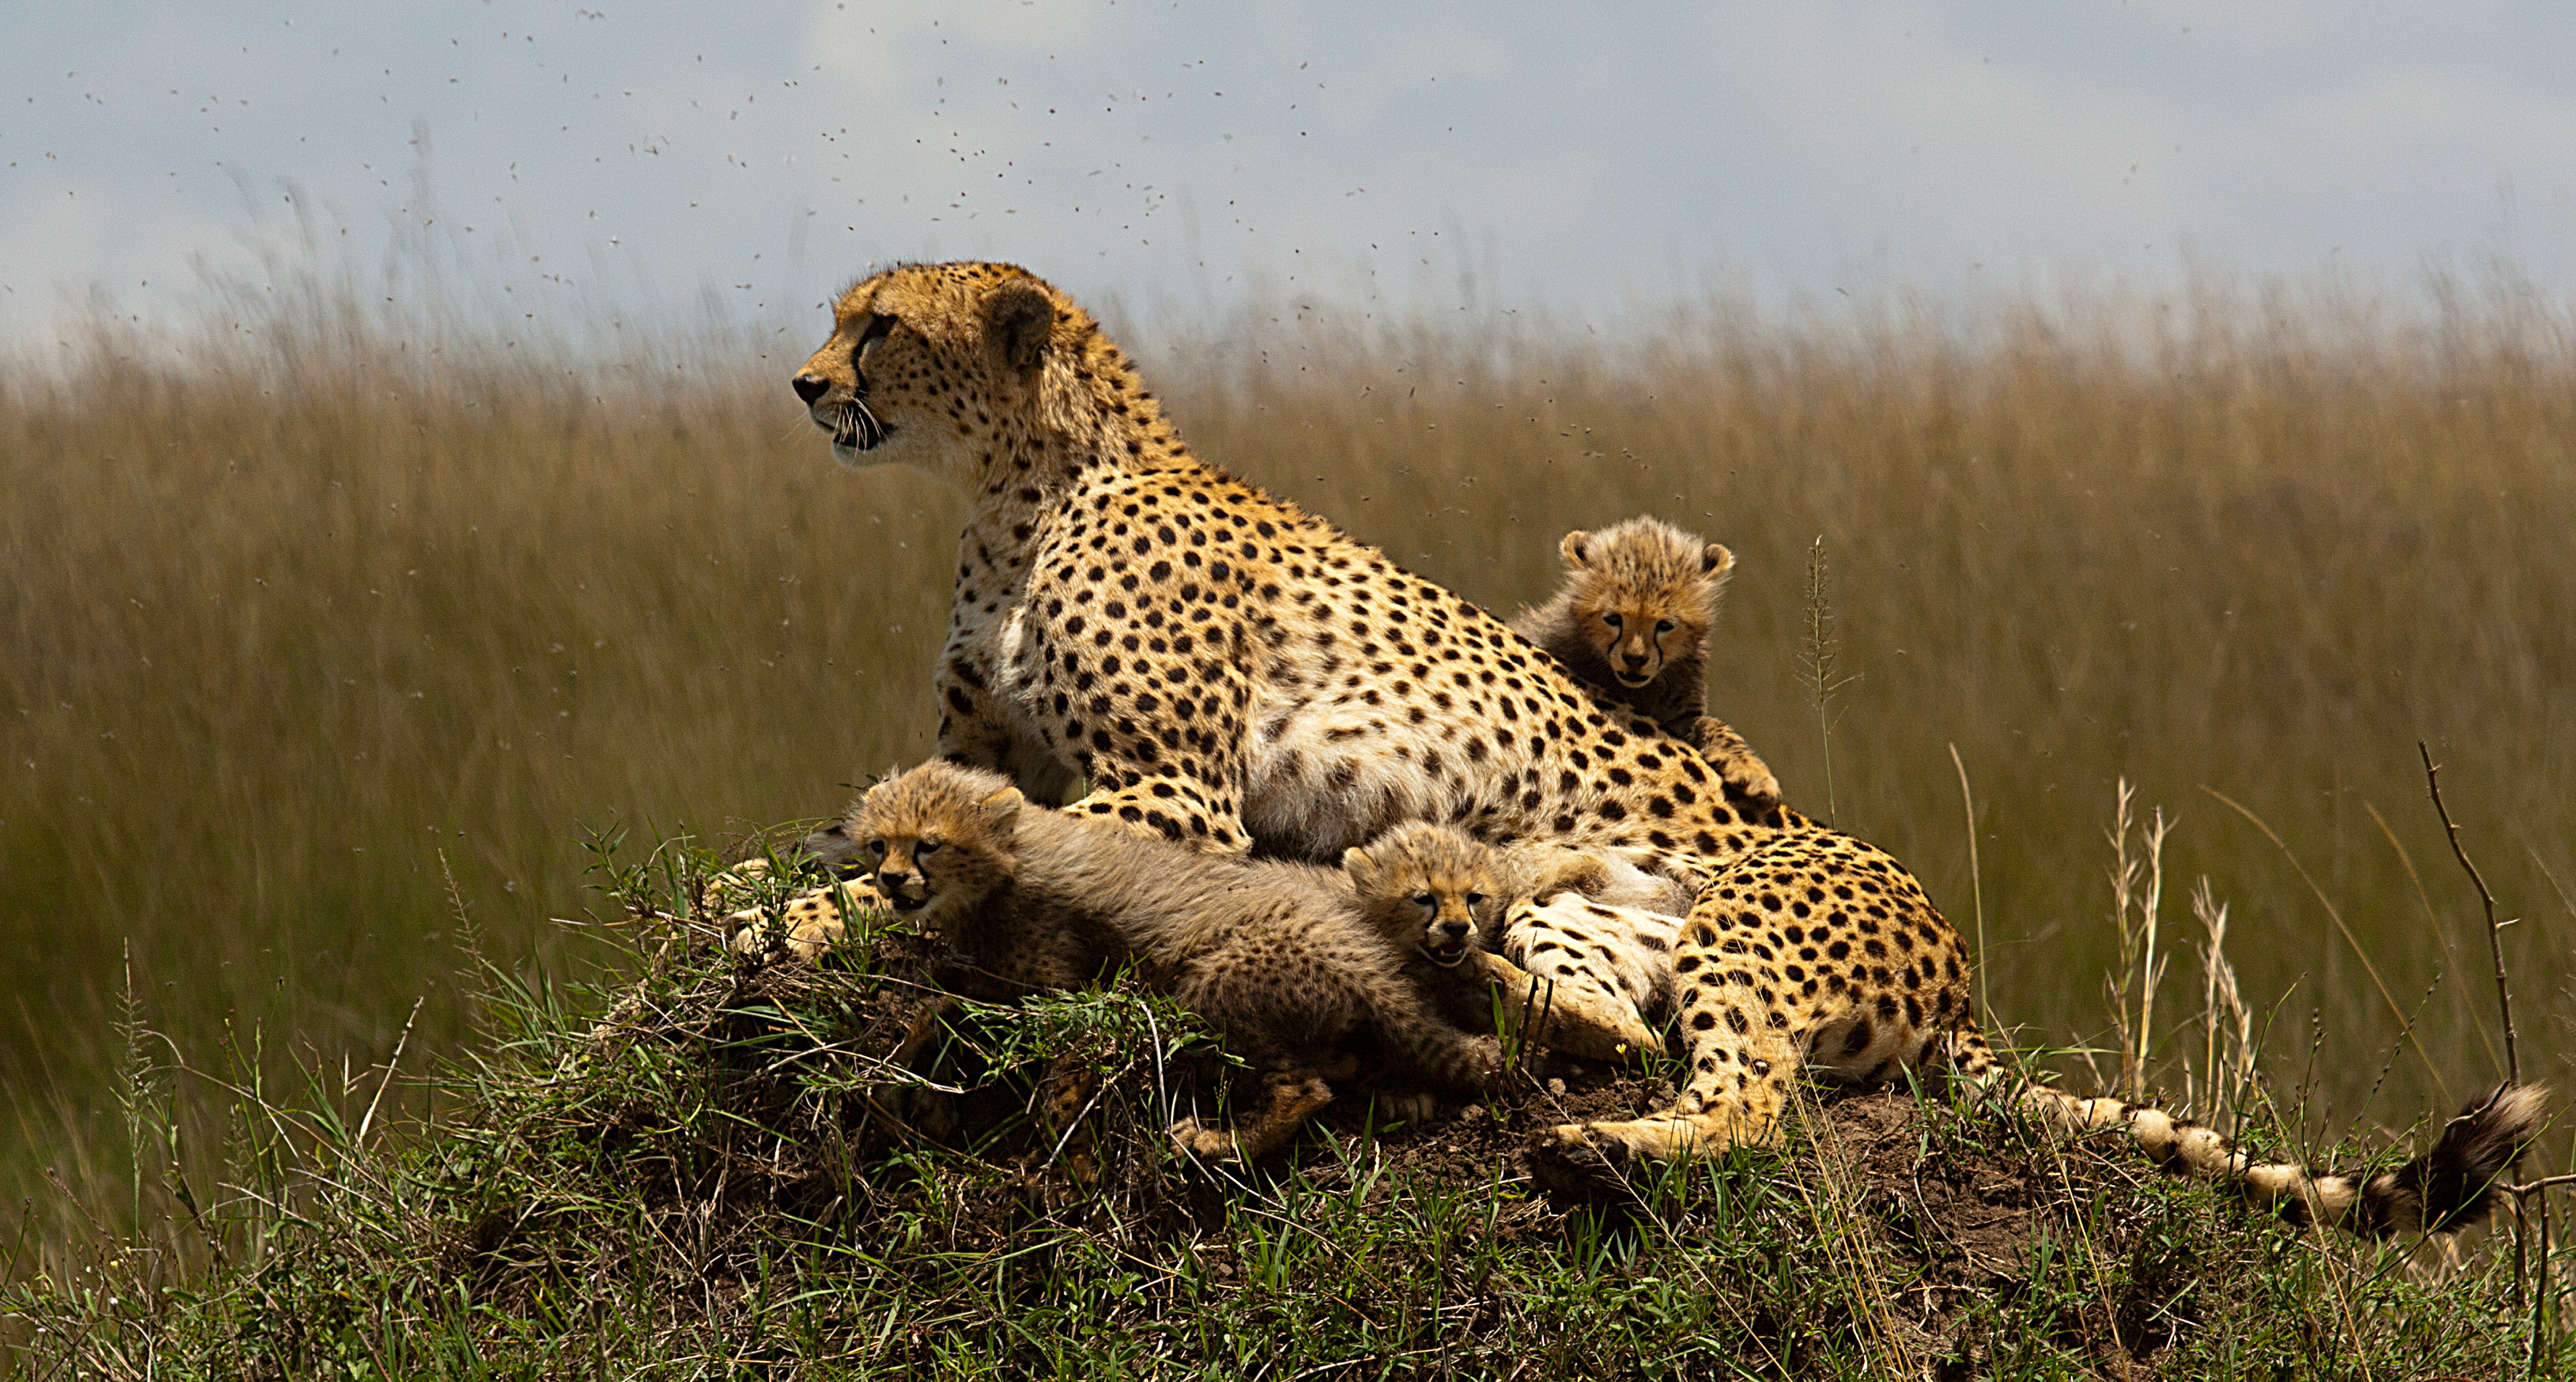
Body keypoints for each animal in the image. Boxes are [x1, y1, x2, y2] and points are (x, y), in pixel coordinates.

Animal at [847, 758, 1504, 1161]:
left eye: (929, 845)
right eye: (879, 845)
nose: (891, 880)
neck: (1008, 864)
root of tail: (1360, 952)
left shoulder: (1062, 992)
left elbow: (1050, 1065)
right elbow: (945, 998)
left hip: (1212, 989)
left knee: (1304, 1090)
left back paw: (1220, 1142)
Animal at [1510, 516, 1780, 811]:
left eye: (1665, 625)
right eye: (1613, 619)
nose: (1635, 659)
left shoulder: (1681, 718)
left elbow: (1715, 725)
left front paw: (1752, 770)